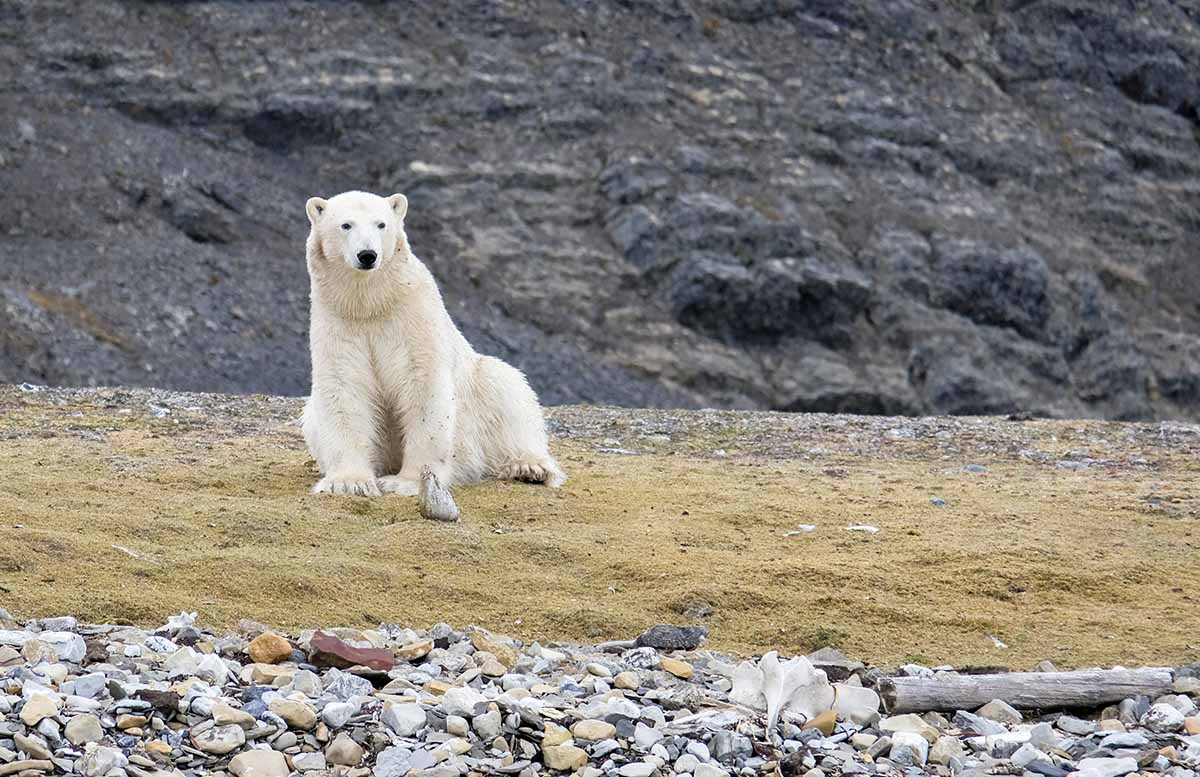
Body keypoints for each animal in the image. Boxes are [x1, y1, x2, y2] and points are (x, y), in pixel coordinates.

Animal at [297, 191, 564, 501]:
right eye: (345, 225)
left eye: (381, 224)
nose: (367, 255)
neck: (372, 303)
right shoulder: (338, 321)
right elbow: (344, 386)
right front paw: (348, 482)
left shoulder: (412, 316)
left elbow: (422, 385)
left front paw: (407, 482)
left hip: (480, 396)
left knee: (506, 389)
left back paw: (530, 467)